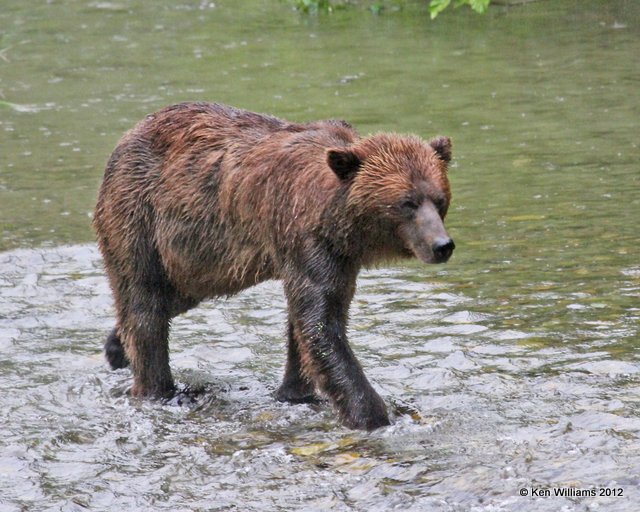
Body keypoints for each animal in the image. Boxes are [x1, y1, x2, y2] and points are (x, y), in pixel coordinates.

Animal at [95, 102, 456, 430]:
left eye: (440, 200)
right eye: (406, 203)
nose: (442, 245)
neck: (339, 222)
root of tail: (126, 138)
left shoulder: (337, 257)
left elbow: (310, 323)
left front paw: (295, 392)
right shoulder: (305, 238)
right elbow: (321, 324)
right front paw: (375, 416)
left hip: (196, 259)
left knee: (169, 298)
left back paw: (116, 348)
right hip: (141, 217)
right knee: (145, 304)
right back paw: (160, 390)